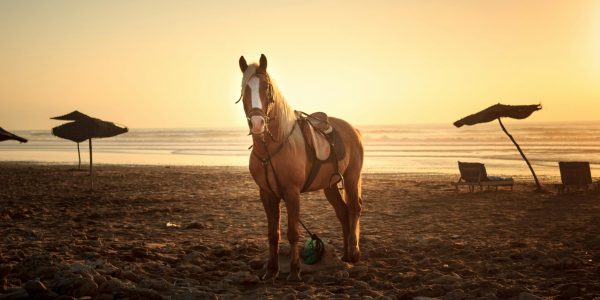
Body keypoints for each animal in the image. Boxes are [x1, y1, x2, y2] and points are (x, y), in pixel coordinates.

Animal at [237, 54, 364, 282]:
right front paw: (271, 271)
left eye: (267, 88)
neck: (274, 147)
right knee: (343, 212)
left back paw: (354, 254)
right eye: (245, 90)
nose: (258, 123)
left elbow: (293, 233)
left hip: (352, 178)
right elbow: (273, 234)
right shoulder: (267, 194)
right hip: (330, 185)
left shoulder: (292, 193)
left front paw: (295, 272)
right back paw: (345, 255)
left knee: (354, 209)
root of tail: (354, 130)